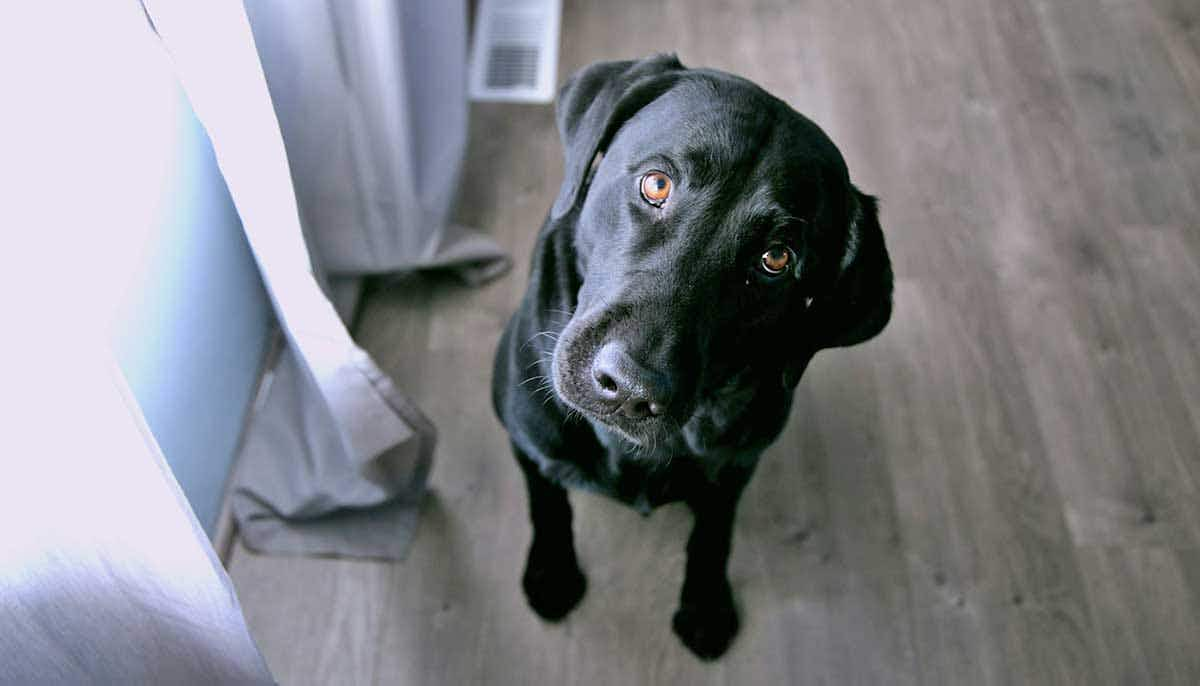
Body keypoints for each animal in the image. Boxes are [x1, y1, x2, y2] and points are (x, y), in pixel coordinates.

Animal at [489, 56, 892, 662]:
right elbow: (547, 499)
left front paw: (706, 605)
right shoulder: (526, 435)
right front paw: (553, 572)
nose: (629, 388)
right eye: (657, 183)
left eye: (776, 258)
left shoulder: (738, 465)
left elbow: (713, 532)